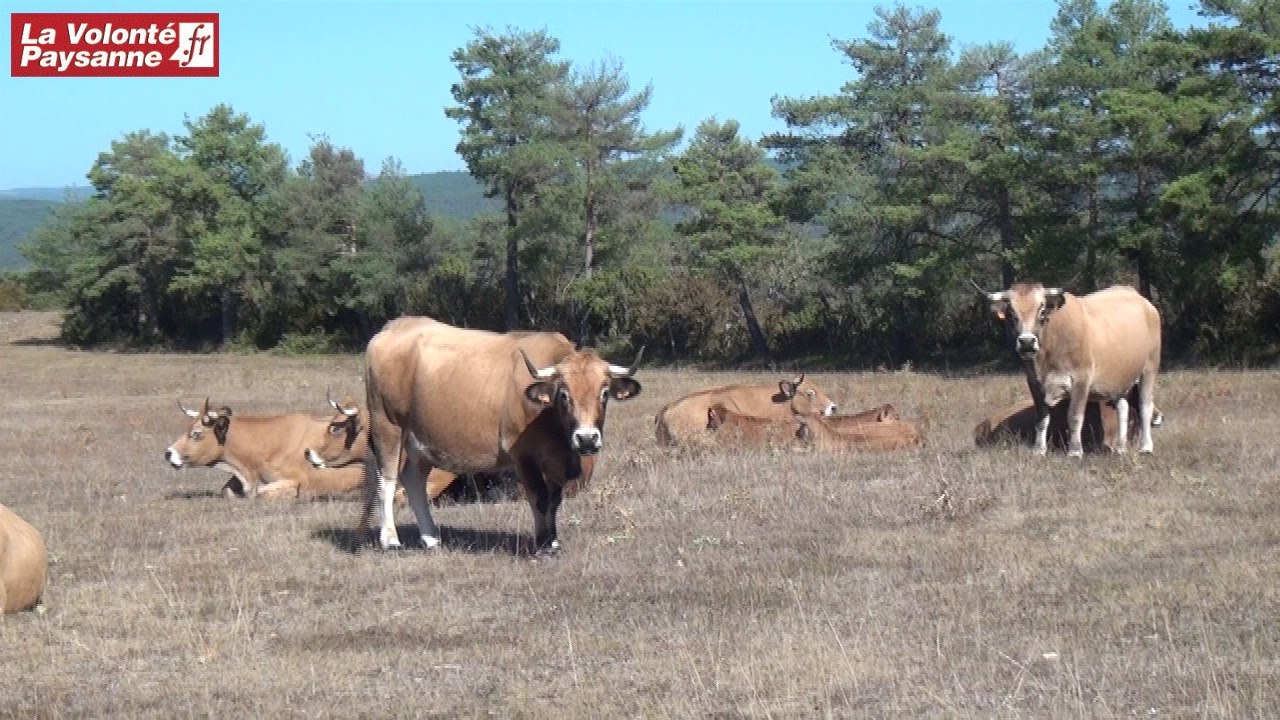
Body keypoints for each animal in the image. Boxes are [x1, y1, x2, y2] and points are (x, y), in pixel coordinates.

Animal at [355, 317, 643, 553]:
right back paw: (390, 539)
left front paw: (553, 540)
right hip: (387, 425)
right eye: (564, 394)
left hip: (420, 440)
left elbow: (554, 500)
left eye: (604, 393)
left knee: (413, 480)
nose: (586, 439)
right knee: (387, 479)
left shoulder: (556, 459)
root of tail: (393, 327)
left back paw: (431, 538)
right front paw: (543, 544)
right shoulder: (523, 454)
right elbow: (539, 497)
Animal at [979, 282, 1161, 457]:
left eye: (1042, 310)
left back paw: (1146, 447)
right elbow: (1041, 419)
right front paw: (1039, 450)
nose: (1027, 342)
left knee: (1145, 405)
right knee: (1123, 408)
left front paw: (1074, 451)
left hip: (1149, 368)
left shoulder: (1081, 379)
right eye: (1011, 313)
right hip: (1119, 379)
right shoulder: (1034, 383)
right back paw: (1121, 448)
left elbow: (1074, 416)